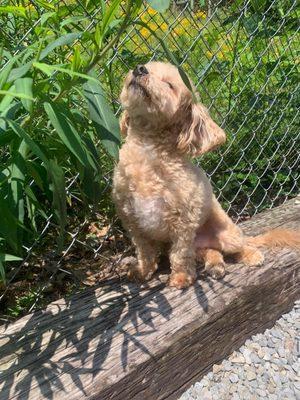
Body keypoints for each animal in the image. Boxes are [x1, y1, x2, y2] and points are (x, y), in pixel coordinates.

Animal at [112, 61, 300, 290]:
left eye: (169, 85)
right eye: (147, 66)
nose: (140, 69)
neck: (148, 154)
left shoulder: (183, 223)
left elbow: (180, 255)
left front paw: (181, 278)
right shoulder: (132, 221)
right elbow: (145, 252)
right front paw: (142, 271)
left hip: (227, 234)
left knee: (240, 246)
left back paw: (251, 255)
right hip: (199, 246)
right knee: (213, 251)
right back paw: (215, 265)